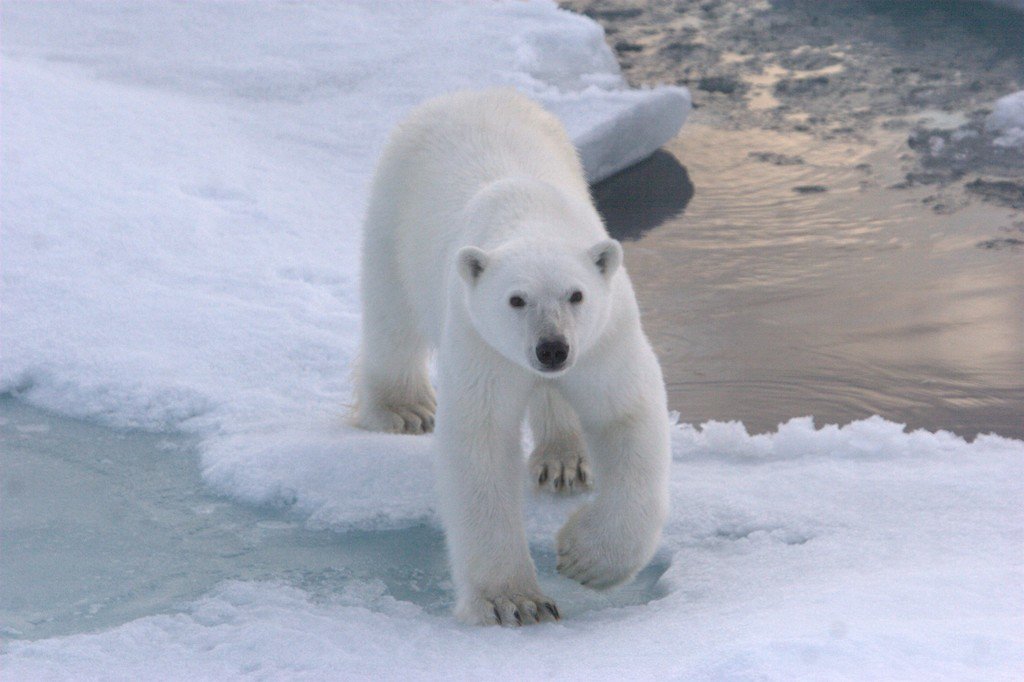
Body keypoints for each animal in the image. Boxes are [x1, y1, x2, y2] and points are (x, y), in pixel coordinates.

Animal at [352, 90, 671, 626]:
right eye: (516, 299)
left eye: (577, 294)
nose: (552, 348)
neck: (531, 215)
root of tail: (462, 95)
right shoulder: (481, 343)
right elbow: (479, 444)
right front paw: (515, 602)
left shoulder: (605, 338)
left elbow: (627, 416)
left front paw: (586, 559)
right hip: (392, 212)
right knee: (391, 317)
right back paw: (404, 408)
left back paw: (564, 460)